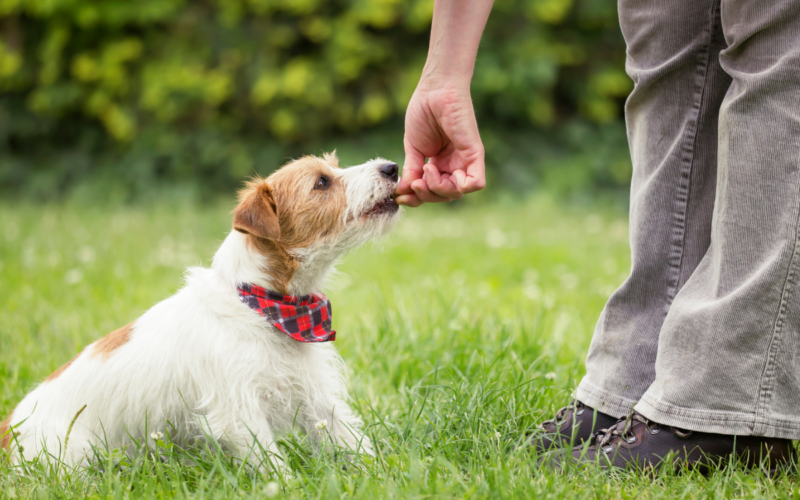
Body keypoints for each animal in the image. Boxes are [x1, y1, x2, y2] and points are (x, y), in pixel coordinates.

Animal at [0, 151, 400, 468]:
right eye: (321, 182)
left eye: (334, 168)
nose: (393, 167)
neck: (266, 306)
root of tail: (8, 430)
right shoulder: (238, 411)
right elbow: (273, 464)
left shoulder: (315, 395)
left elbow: (349, 439)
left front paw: (382, 474)